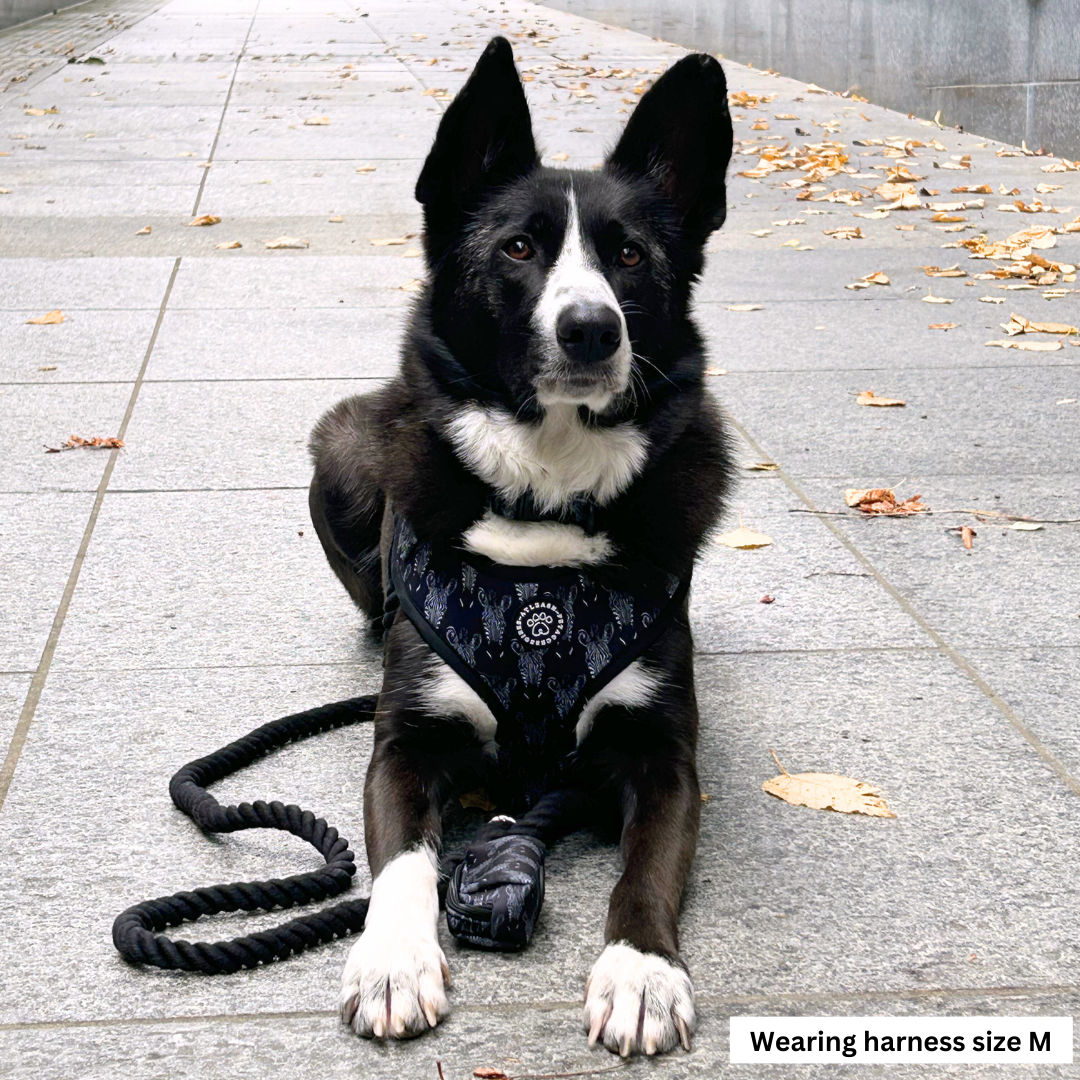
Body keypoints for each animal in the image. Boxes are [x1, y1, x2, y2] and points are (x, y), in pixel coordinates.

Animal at [308, 39, 738, 1054]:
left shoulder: (664, 753)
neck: (545, 498)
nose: (591, 329)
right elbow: (402, 863)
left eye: (631, 255)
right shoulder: (407, 741)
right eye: (517, 248)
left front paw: (642, 971)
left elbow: (646, 868)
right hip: (341, 442)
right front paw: (394, 960)